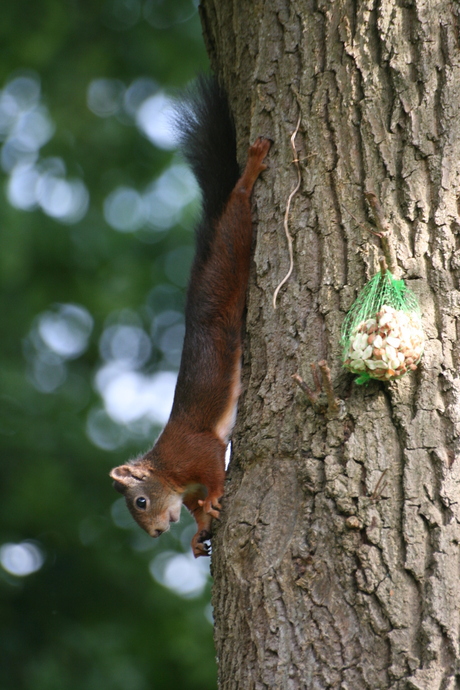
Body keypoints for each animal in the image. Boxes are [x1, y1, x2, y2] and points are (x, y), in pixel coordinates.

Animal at [109, 78, 272, 556]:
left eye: (140, 501)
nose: (157, 533)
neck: (168, 471)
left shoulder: (196, 450)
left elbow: (215, 467)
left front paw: (216, 497)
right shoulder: (188, 488)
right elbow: (199, 509)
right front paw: (199, 535)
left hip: (232, 254)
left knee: (237, 212)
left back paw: (249, 172)